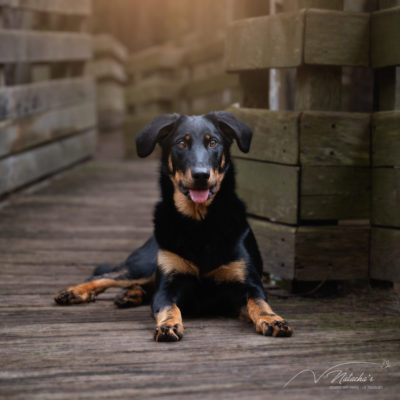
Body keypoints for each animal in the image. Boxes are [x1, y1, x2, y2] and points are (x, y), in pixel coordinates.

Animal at [54, 111, 294, 340]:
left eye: (213, 142)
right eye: (181, 143)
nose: (201, 175)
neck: (199, 223)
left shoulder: (247, 285)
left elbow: (259, 303)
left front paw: (272, 319)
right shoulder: (168, 286)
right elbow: (169, 307)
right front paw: (168, 325)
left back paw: (130, 295)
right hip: (143, 265)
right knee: (105, 276)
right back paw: (75, 292)